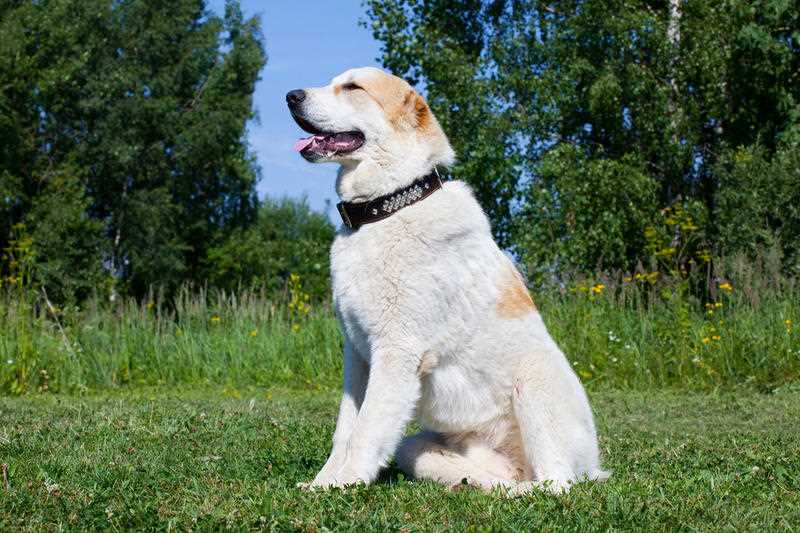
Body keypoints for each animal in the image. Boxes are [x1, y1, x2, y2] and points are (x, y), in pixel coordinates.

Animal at [288, 66, 608, 494]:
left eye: (353, 87)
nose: (291, 96)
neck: (388, 209)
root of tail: (593, 465)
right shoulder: (358, 356)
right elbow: (345, 430)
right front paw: (323, 482)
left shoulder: (396, 352)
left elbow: (366, 430)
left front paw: (345, 485)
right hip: (414, 448)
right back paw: (478, 484)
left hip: (534, 381)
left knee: (556, 481)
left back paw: (521, 492)